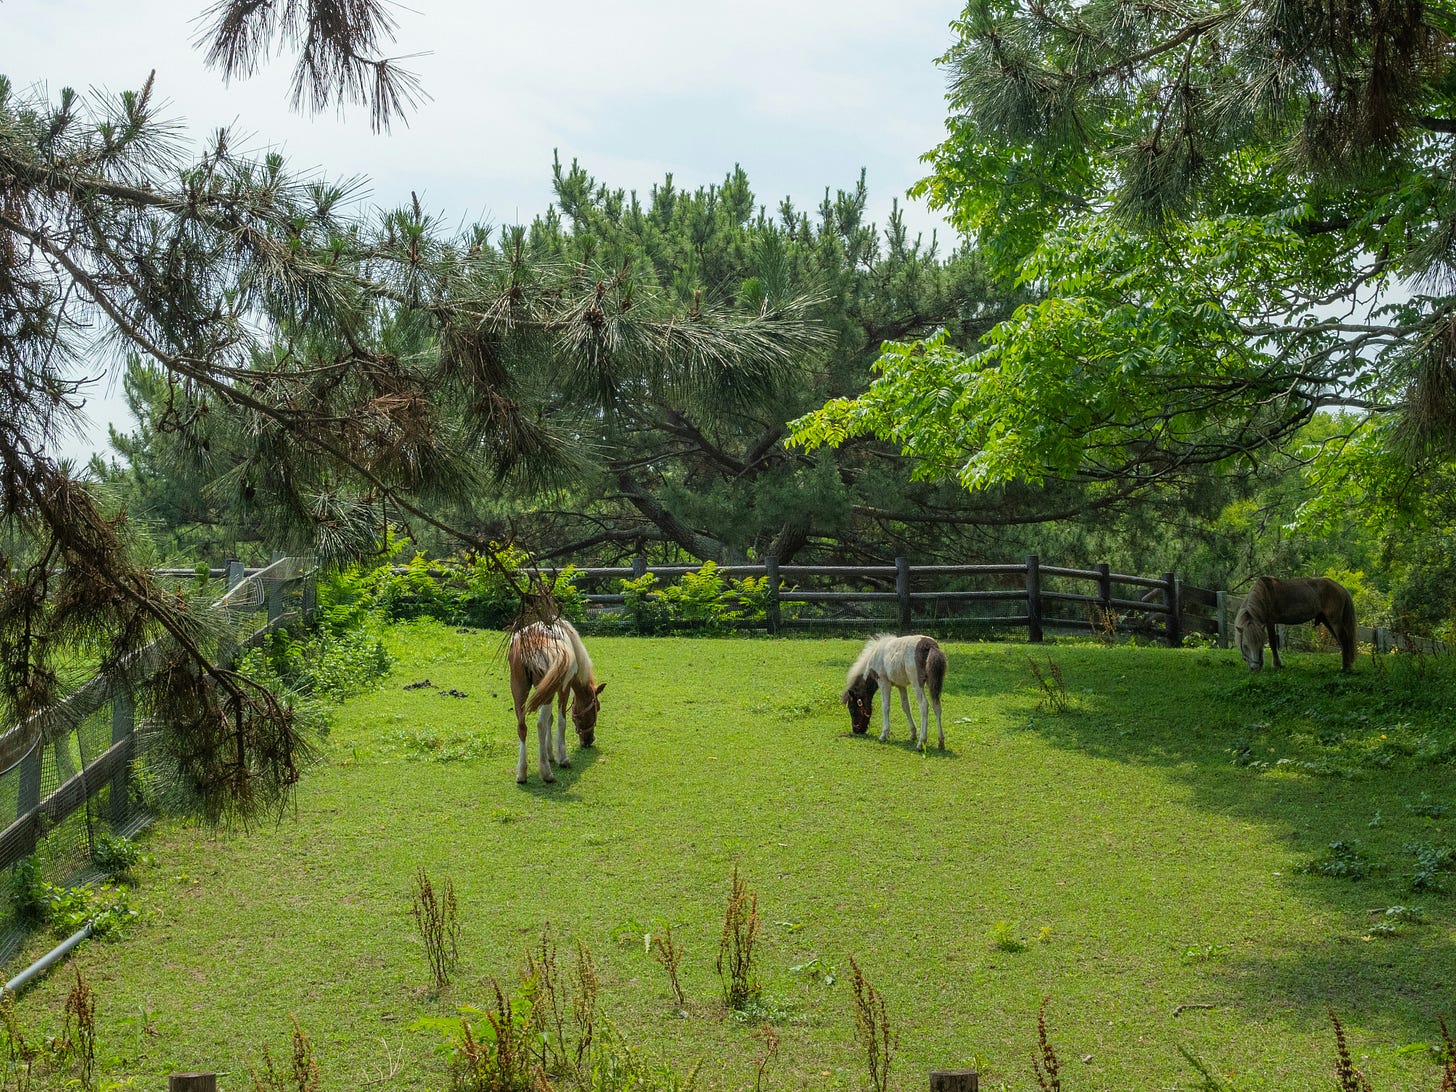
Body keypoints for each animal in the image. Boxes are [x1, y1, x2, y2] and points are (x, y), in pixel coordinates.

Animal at [507, 619, 605, 783]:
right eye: (596, 708)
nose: (590, 740)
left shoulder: (546, 689)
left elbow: (550, 720)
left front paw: (550, 754)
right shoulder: (563, 688)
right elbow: (560, 722)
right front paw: (562, 758)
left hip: (519, 690)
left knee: (522, 727)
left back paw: (522, 773)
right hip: (546, 694)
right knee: (540, 725)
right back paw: (546, 773)